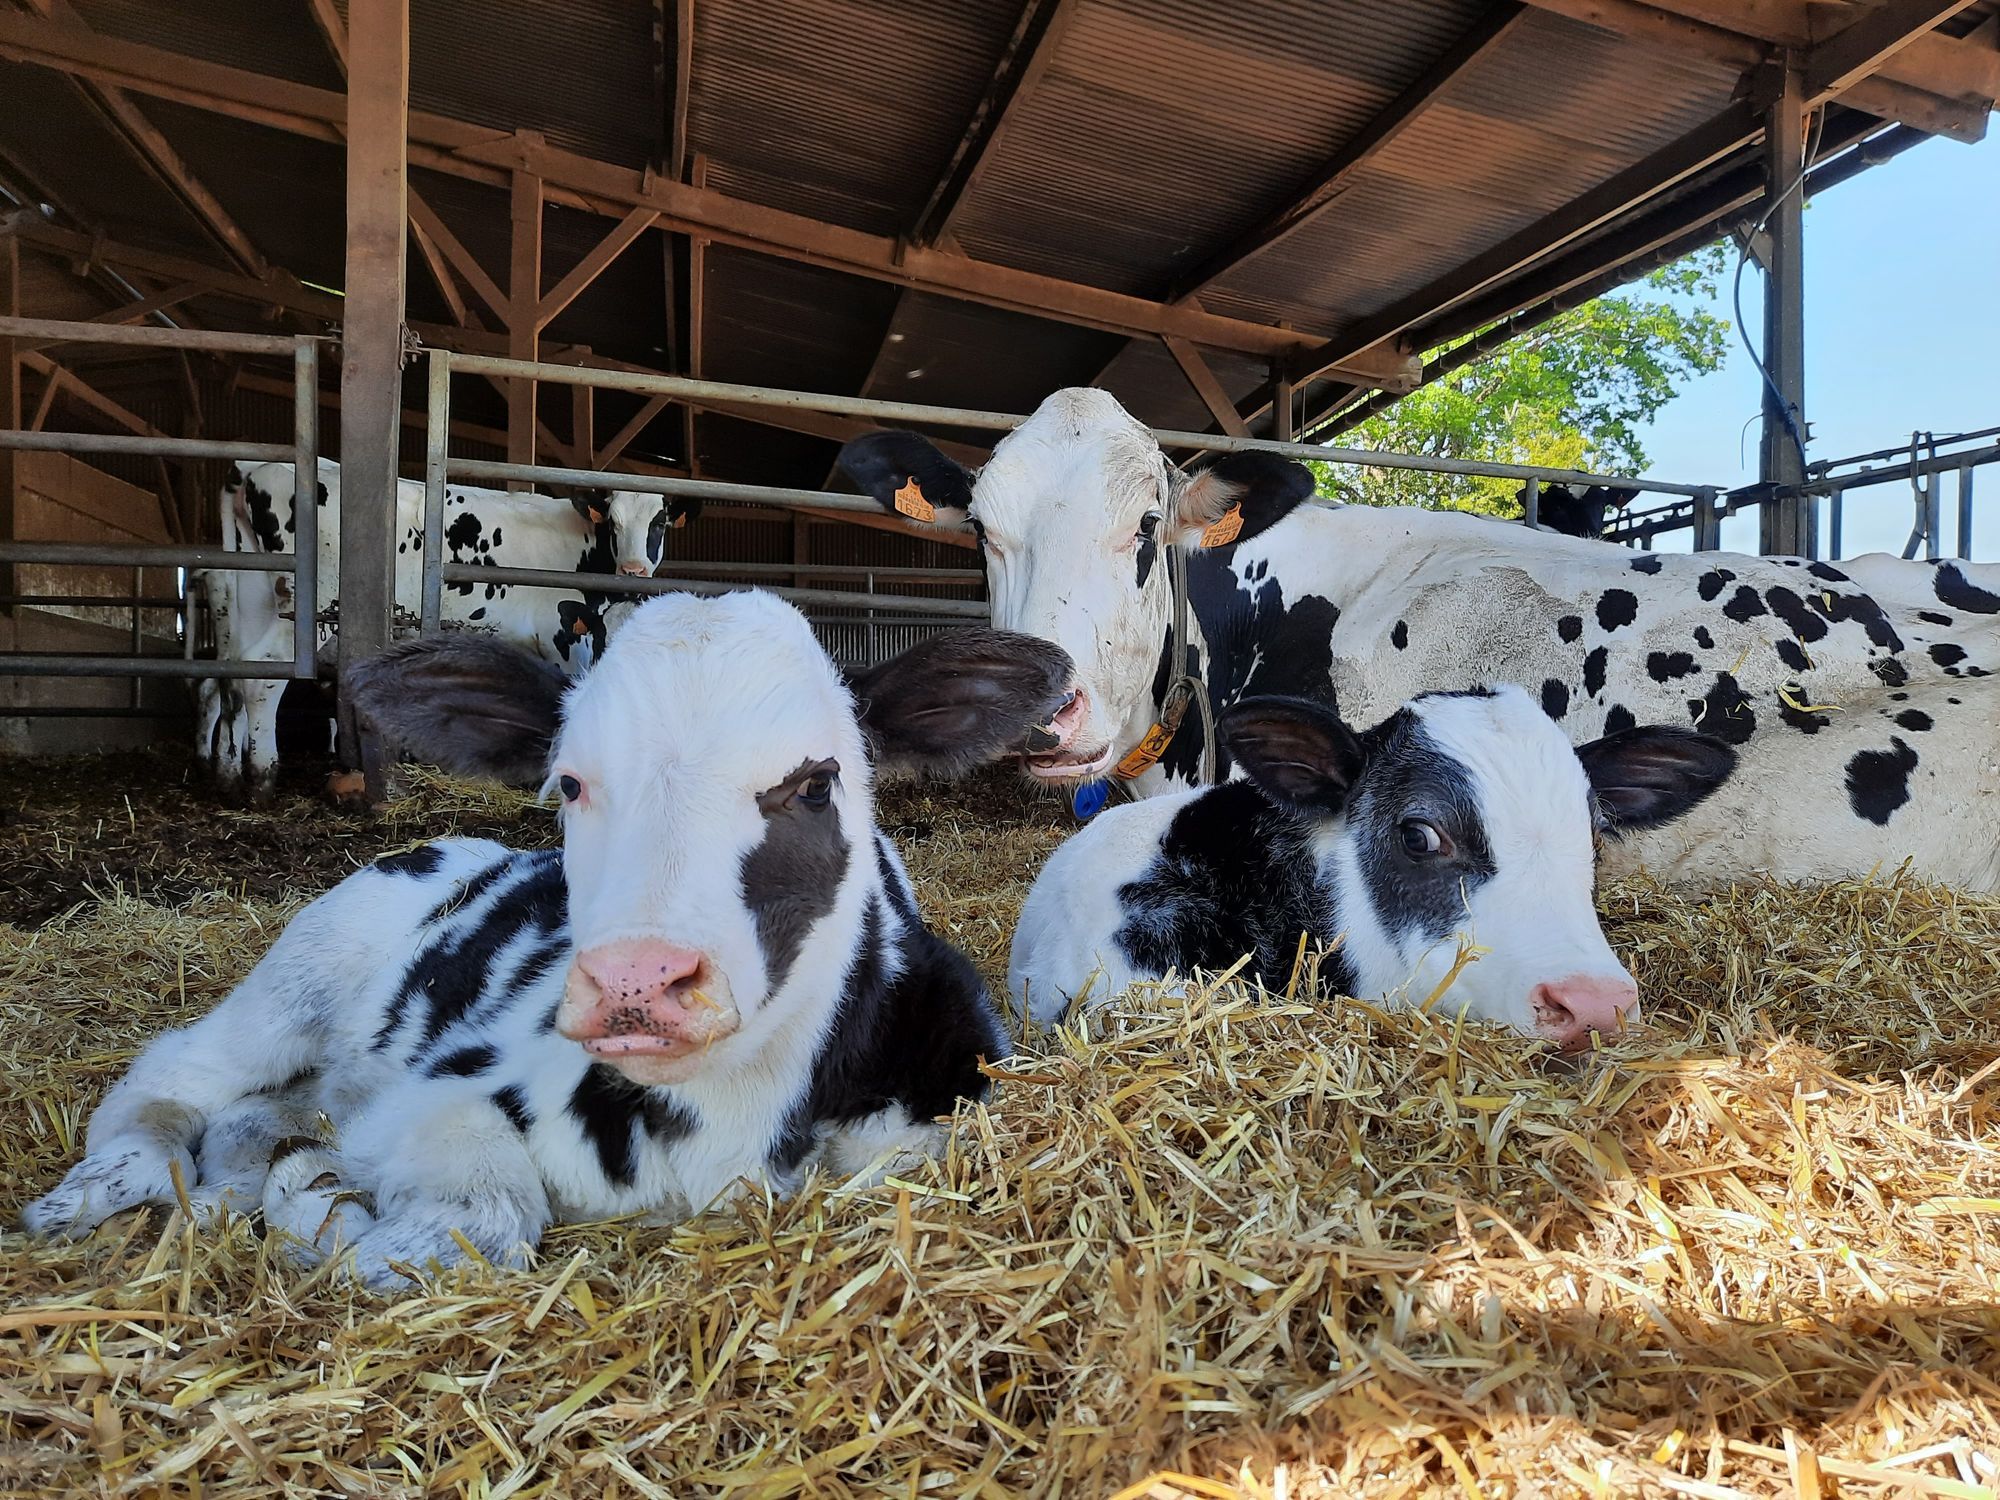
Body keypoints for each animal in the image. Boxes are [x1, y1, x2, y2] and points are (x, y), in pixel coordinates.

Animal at [24, 593, 1073, 1287]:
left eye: (816, 784)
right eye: (569, 781)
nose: (637, 981)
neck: (723, 1124)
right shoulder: (441, 1090)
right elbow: (471, 1222)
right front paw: (334, 1217)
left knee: (254, 1114)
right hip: (296, 977)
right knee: (172, 1076)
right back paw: (94, 1190)